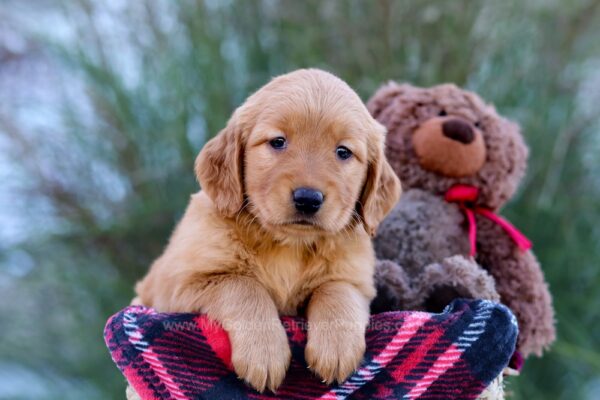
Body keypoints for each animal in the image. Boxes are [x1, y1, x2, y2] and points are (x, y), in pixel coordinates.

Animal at [134, 68, 400, 390]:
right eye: (278, 142)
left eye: (343, 152)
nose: (308, 199)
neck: (288, 245)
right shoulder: (177, 283)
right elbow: (243, 286)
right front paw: (264, 353)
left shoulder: (356, 279)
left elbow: (336, 290)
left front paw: (337, 348)